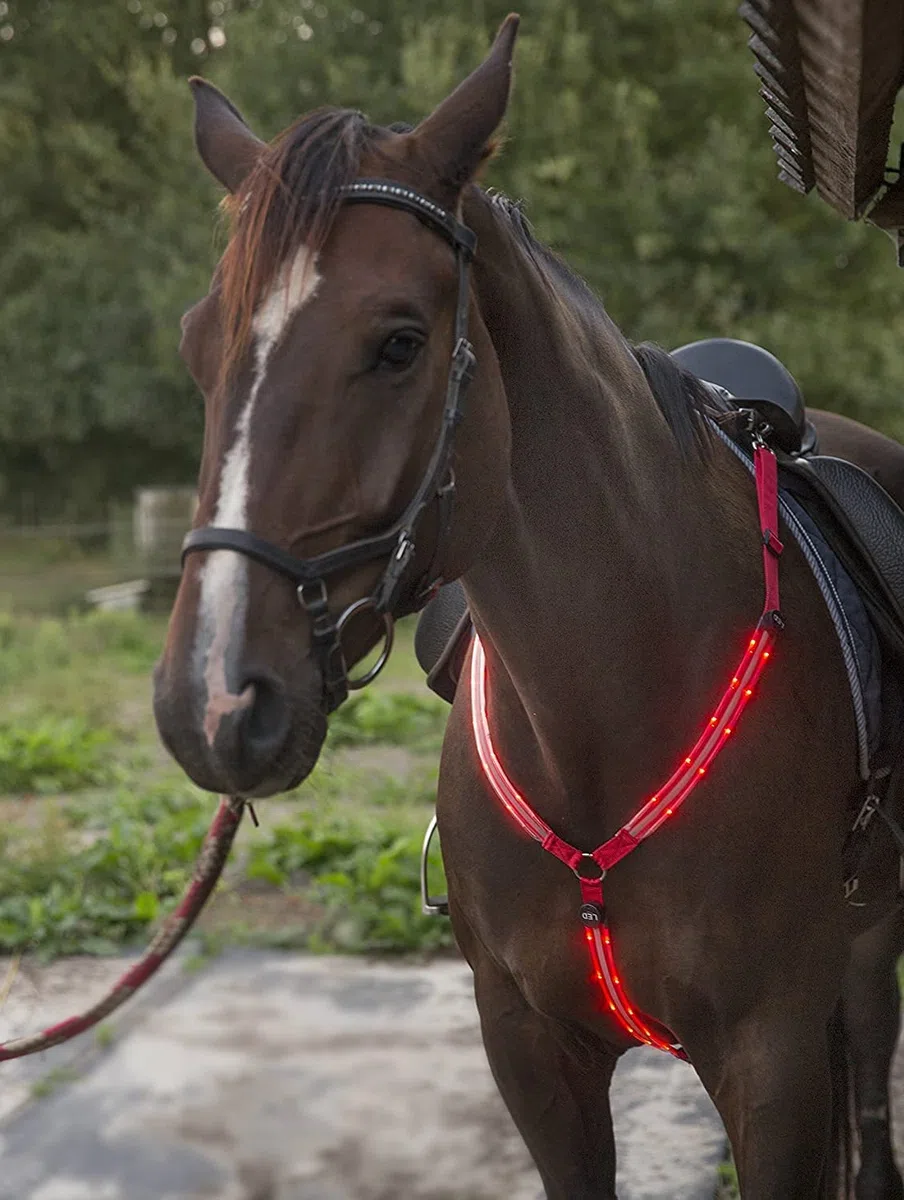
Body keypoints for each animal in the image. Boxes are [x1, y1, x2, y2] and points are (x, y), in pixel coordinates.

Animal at [153, 16, 904, 1197]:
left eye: (400, 341)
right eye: (198, 345)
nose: (213, 700)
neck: (603, 718)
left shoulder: (770, 1060)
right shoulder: (529, 1052)